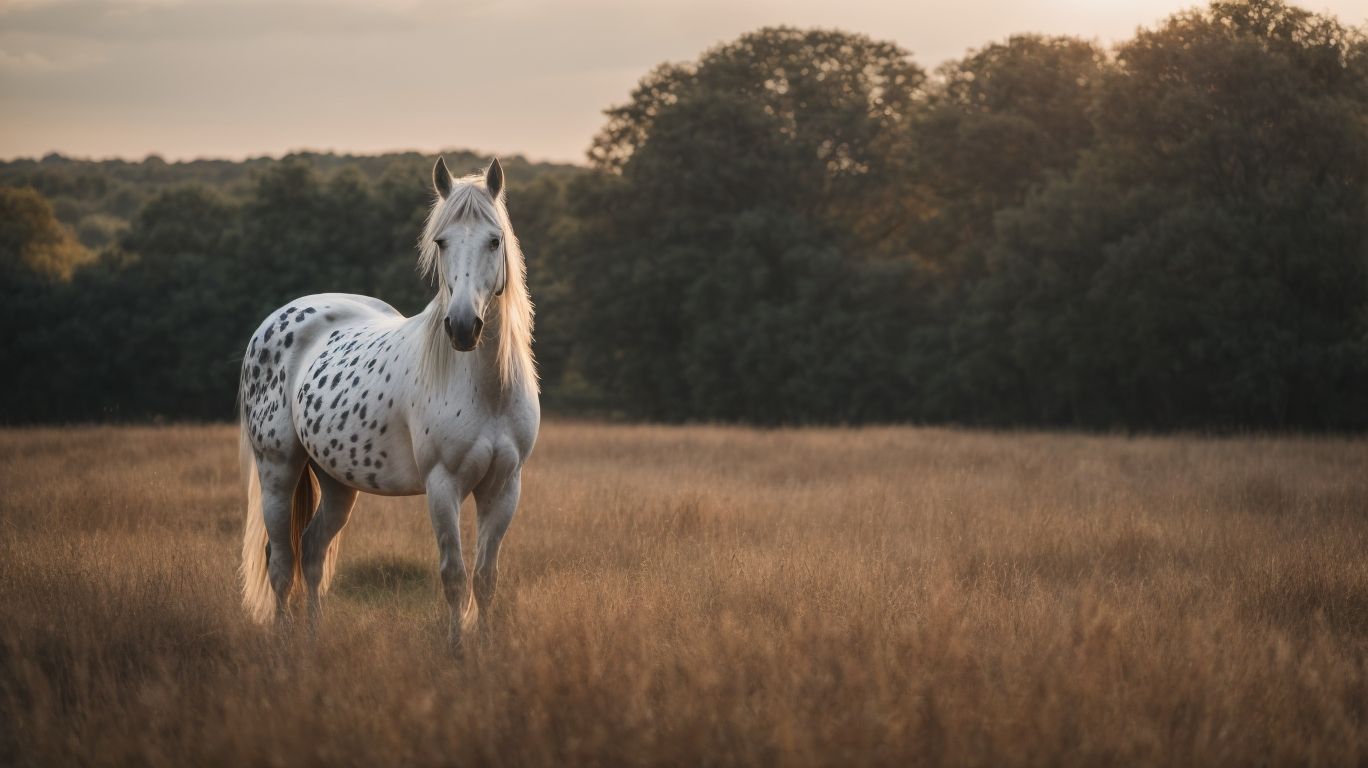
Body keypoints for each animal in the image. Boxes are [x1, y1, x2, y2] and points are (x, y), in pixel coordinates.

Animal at [237, 157, 539, 654]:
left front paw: (486, 649)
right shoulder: (443, 486)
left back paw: (314, 639)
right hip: (278, 468)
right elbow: (454, 576)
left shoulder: (504, 486)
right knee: (280, 563)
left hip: (337, 481)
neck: (486, 388)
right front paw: (457, 652)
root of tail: (280, 317)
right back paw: (283, 646)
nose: (462, 328)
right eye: (441, 241)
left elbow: (485, 578)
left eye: (494, 240)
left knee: (312, 551)